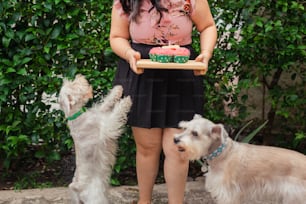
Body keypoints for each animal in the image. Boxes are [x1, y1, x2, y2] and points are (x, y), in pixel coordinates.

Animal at [58, 74, 131, 204]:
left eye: (71, 83)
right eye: (74, 86)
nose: (79, 76)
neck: (76, 114)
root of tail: (77, 188)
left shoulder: (100, 111)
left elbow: (107, 102)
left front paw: (118, 90)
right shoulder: (107, 127)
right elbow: (115, 114)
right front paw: (126, 101)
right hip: (96, 198)